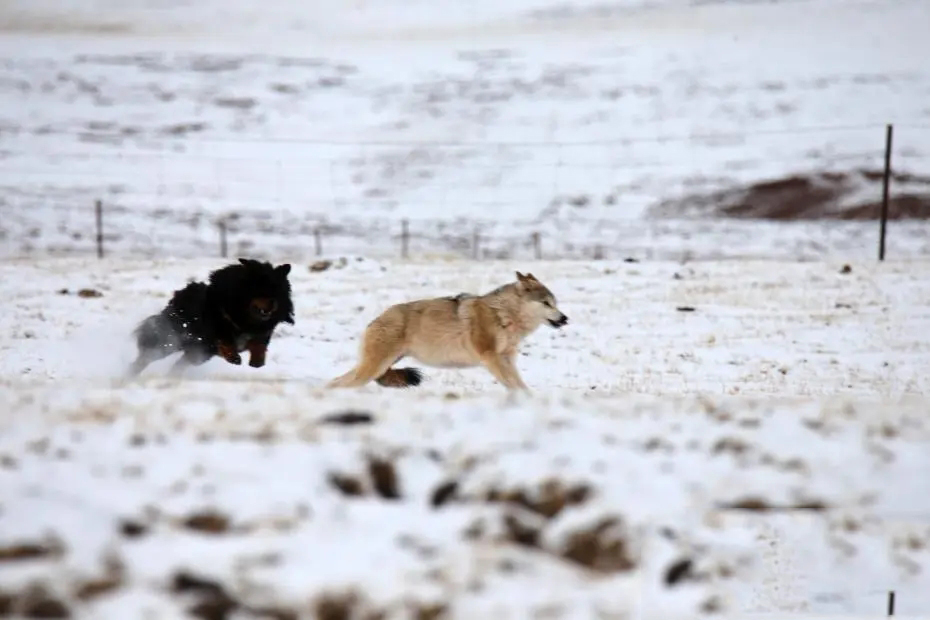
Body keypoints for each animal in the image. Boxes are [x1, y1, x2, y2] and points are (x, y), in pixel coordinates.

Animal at [127, 258, 294, 378]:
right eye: (259, 289)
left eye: (278, 290)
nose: (272, 302)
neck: (245, 318)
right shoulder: (214, 333)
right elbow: (224, 340)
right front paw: (234, 358)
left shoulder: (261, 333)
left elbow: (259, 345)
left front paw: (257, 361)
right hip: (170, 341)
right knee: (145, 358)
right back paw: (129, 375)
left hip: (198, 354)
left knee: (178, 365)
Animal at [326, 272, 564, 392]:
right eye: (546, 303)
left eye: (555, 303)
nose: (565, 318)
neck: (504, 315)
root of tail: (374, 321)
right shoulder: (491, 358)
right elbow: (513, 386)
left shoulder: (507, 359)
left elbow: (521, 386)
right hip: (375, 368)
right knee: (340, 383)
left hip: (379, 367)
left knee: (337, 381)